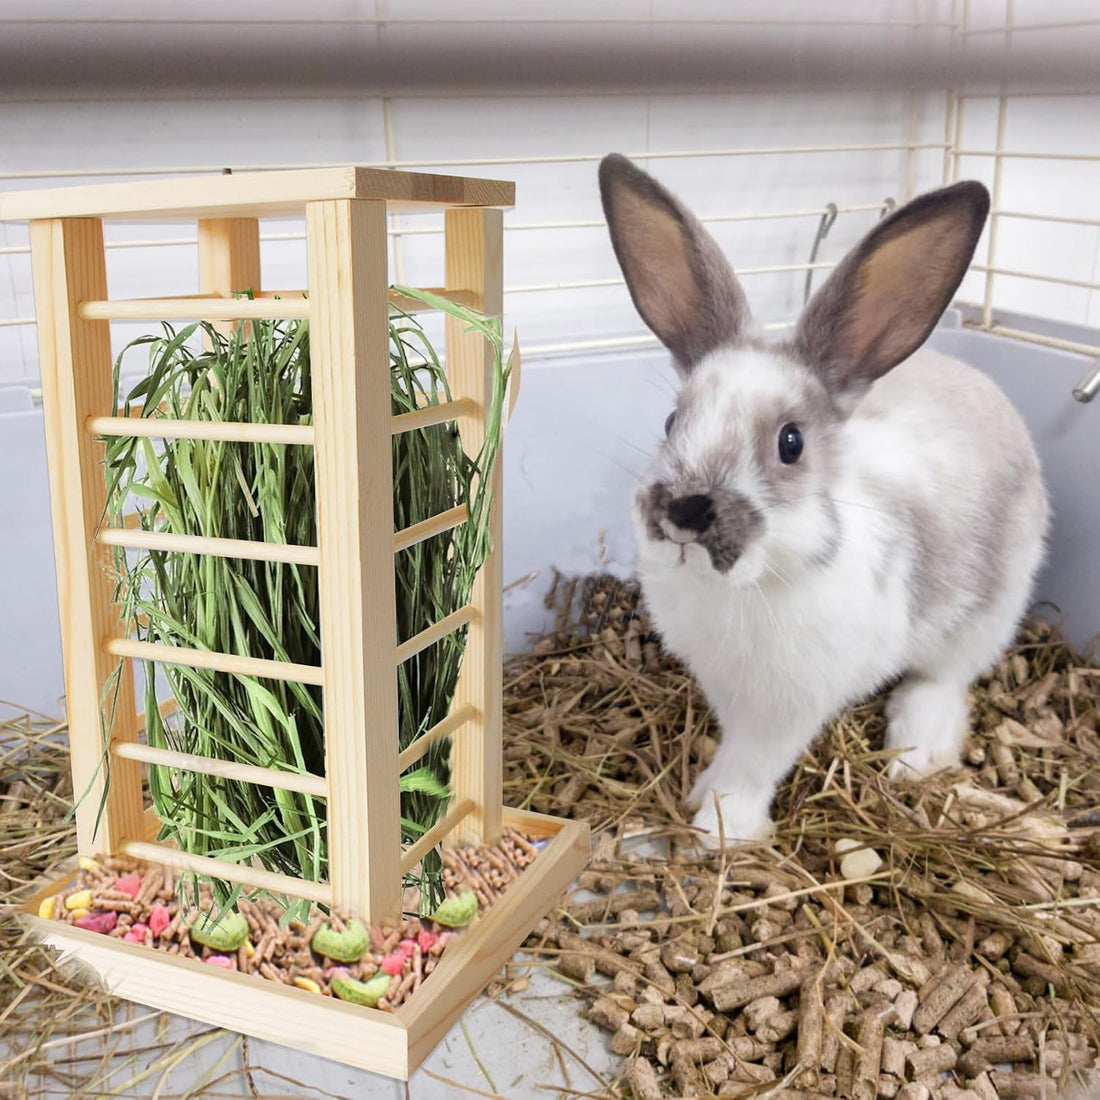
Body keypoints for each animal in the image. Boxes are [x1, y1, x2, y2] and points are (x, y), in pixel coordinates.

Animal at [598, 153, 1049, 846]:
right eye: (672, 421)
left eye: (792, 443)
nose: (684, 510)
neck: (745, 586)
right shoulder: (728, 692)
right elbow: (731, 750)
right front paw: (702, 791)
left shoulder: (787, 710)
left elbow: (753, 766)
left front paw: (720, 830)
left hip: (989, 611)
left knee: (945, 678)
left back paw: (916, 750)